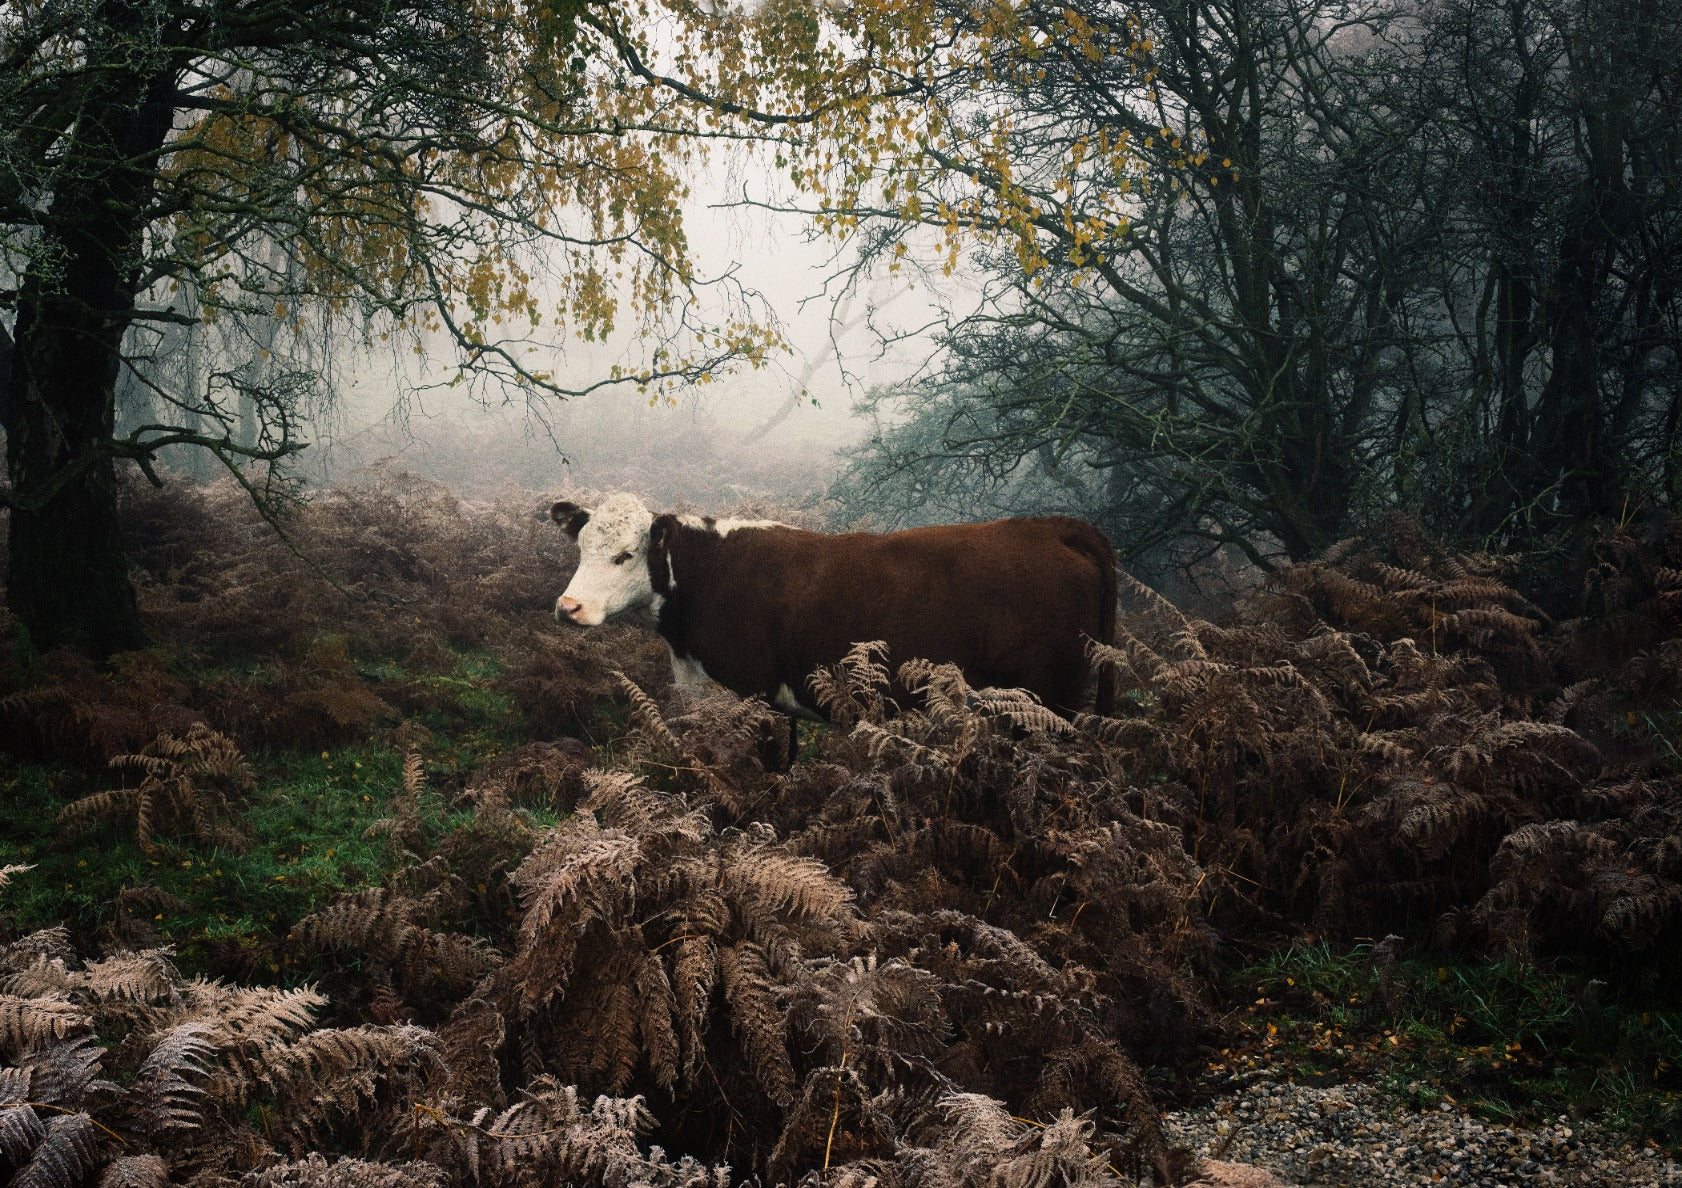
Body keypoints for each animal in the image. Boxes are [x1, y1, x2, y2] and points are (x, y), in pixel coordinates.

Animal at [548, 493, 1117, 721]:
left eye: (625, 555)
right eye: (581, 547)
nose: (568, 607)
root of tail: (1052, 526)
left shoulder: (755, 691)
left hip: (1049, 697)